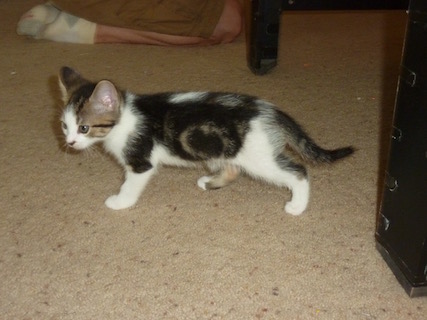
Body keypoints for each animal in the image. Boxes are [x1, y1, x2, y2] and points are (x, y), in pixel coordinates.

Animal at [59, 66, 354, 215]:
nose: (70, 143)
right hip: (228, 151)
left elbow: (131, 185)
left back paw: (297, 205)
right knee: (233, 169)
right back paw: (209, 182)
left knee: (298, 171)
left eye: (84, 128)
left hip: (260, 158)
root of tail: (269, 110)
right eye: (64, 126)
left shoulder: (141, 161)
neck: (124, 118)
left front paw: (120, 202)